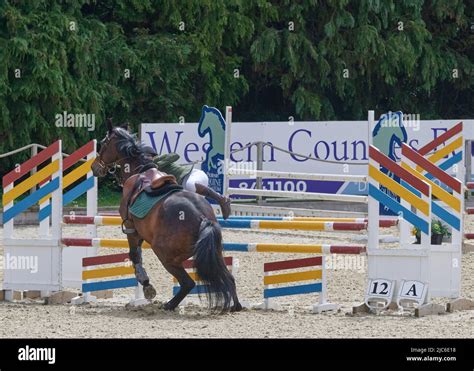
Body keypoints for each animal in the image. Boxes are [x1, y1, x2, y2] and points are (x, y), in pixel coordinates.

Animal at [91, 120, 243, 312]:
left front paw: (146, 284)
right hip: (213, 253)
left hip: (164, 254)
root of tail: (203, 219)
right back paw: (235, 305)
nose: (94, 167)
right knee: (227, 277)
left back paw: (170, 304)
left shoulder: (132, 229)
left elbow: (134, 256)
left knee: (188, 283)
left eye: (103, 144)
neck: (139, 170)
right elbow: (137, 255)